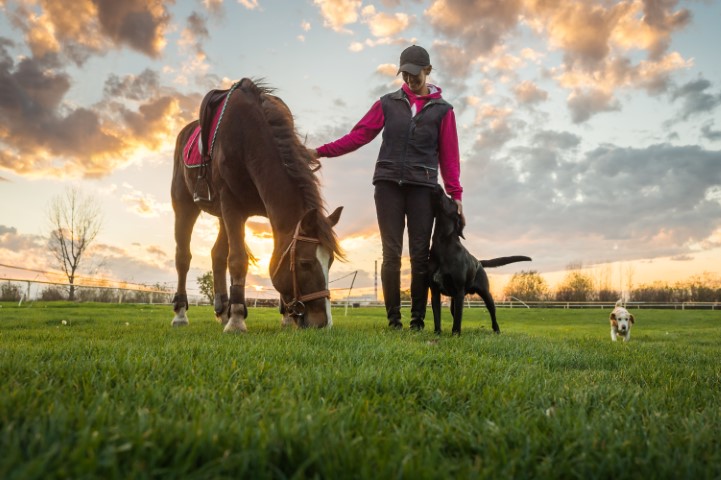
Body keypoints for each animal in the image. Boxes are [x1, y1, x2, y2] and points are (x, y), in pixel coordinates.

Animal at [173, 79, 344, 334]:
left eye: (330, 261)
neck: (248, 136)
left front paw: (285, 317)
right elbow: (238, 260)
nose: (323, 323)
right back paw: (181, 314)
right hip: (184, 205)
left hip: (222, 215)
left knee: (216, 255)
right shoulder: (232, 205)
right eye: (305, 263)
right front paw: (236, 319)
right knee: (183, 257)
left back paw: (222, 310)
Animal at [428, 188, 528, 334]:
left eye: (451, 200)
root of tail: (479, 262)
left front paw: (455, 334)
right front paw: (437, 334)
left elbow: (457, 319)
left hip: (486, 294)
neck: (442, 244)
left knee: (492, 313)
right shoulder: (435, 291)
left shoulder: (459, 292)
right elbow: (437, 317)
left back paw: (497, 331)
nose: (438, 187)